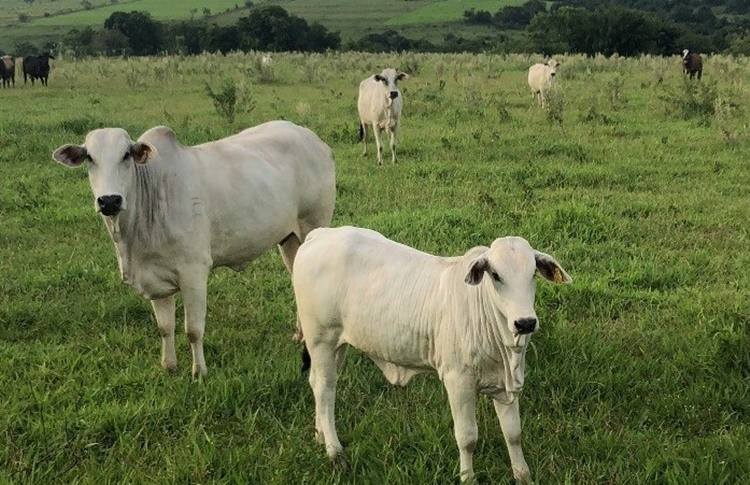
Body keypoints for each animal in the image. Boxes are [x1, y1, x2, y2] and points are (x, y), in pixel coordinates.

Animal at [57, 121, 340, 378]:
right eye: (89, 158)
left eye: (126, 155)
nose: (109, 201)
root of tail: (314, 139)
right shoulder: (154, 277)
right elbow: (165, 327)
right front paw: (169, 366)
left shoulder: (194, 273)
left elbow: (193, 330)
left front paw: (199, 371)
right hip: (288, 239)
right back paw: (299, 334)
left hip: (312, 226)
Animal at [294, 225, 576, 482]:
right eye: (496, 275)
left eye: (533, 273)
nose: (525, 322)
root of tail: (319, 235)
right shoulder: (458, 381)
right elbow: (467, 437)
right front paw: (467, 477)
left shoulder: (504, 385)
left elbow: (514, 434)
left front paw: (522, 475)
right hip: (321, 338)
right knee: (324, 389)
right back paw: (335, 451)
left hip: (337, 345)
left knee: (318, 384)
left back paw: (320, 435)